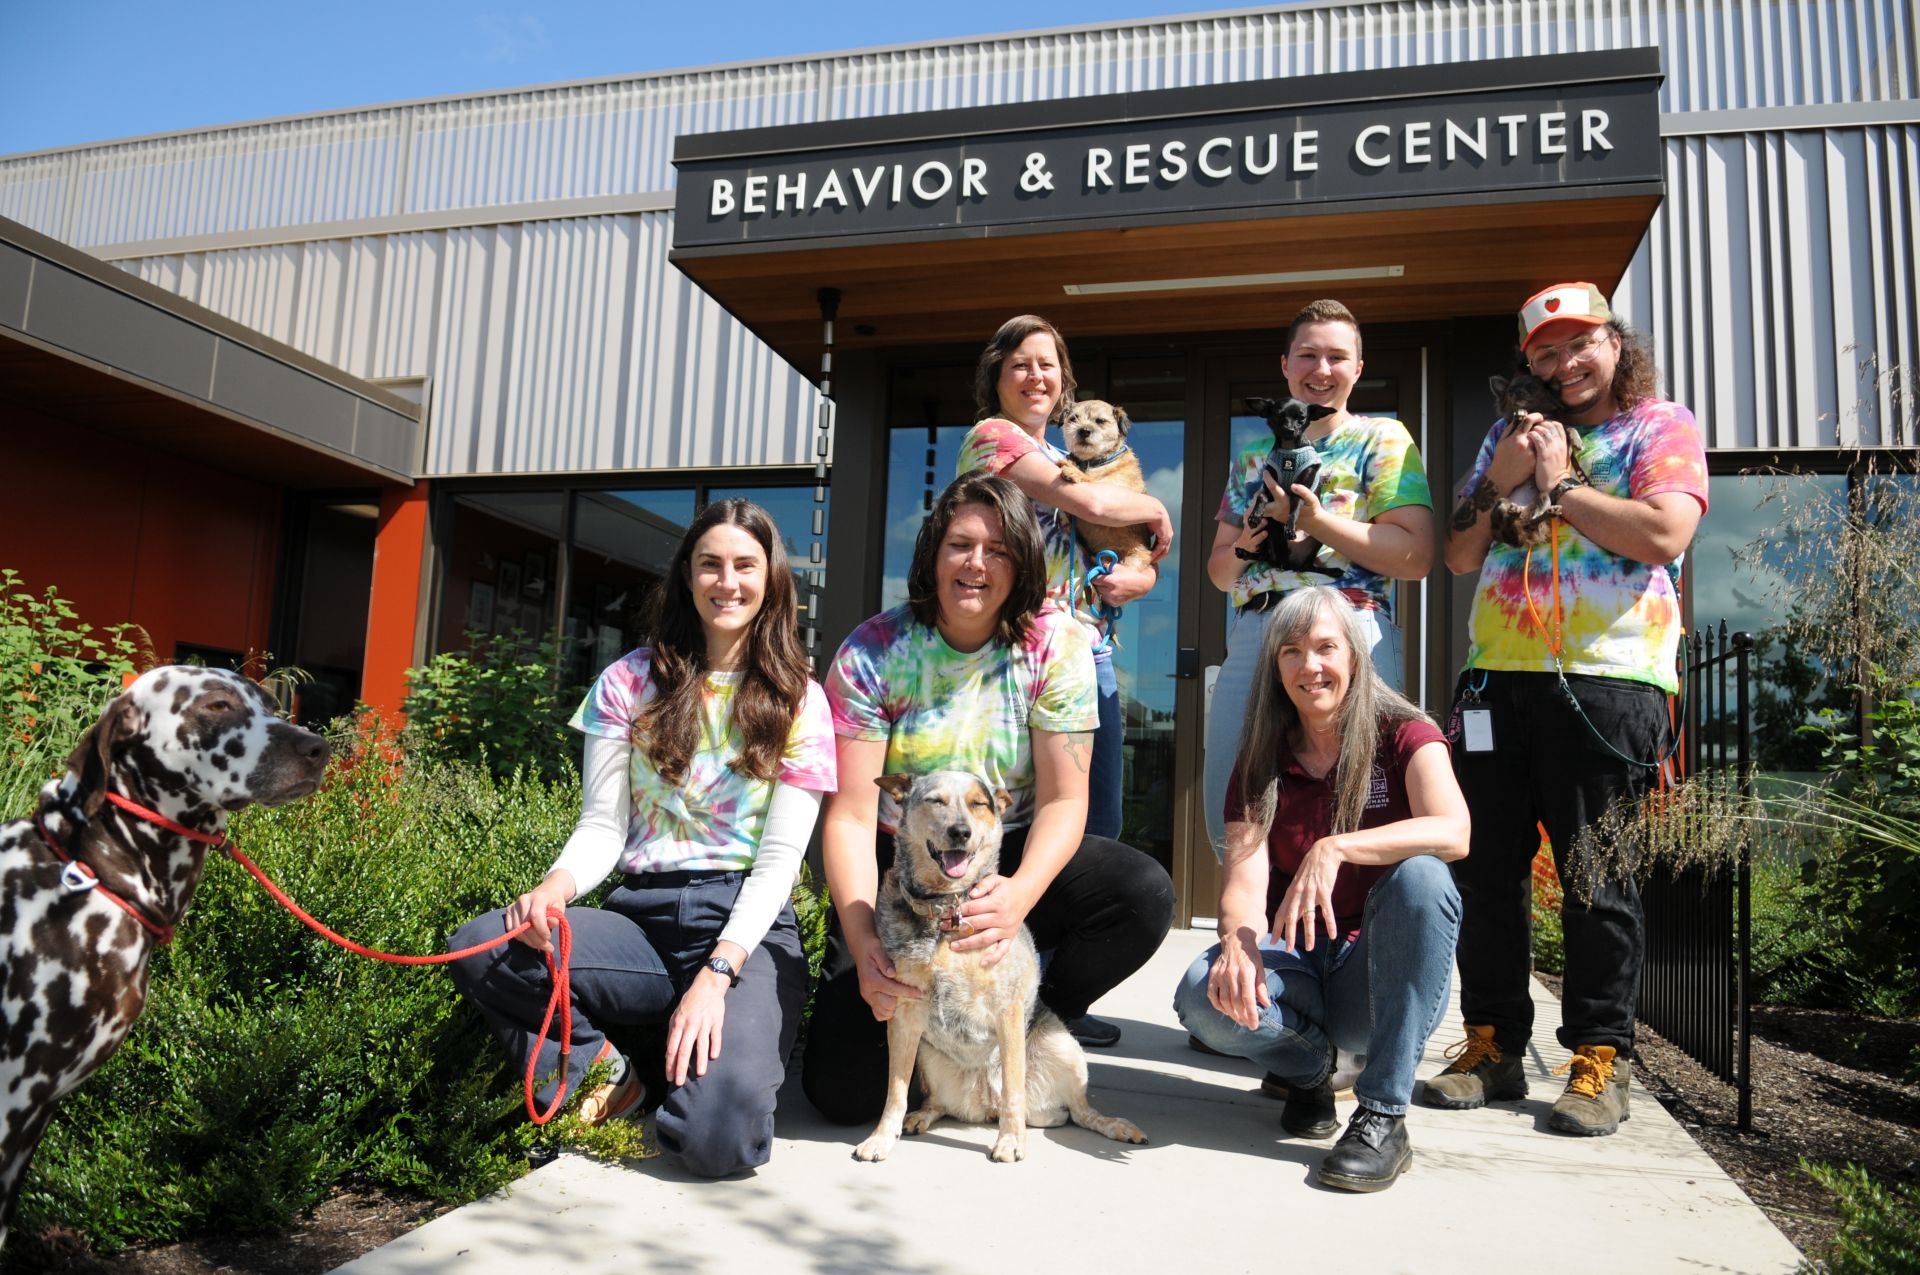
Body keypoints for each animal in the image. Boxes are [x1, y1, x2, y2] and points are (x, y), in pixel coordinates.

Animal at [0, 668, 332, 1244]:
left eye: (270, 704)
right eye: (217, 705)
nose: (319, 748)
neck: (90, 867)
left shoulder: (33, 1115)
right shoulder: (13, 1104)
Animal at [852, 768, 1136, 1167]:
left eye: (979, 804)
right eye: (935, 800)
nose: (960, 831)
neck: (947, 911)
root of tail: (985, 1104)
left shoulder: (1007, 1010)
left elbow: (1014, 1088)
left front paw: (1011, 1141)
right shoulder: (903, 1013)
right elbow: (895, 1090)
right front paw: (881, 1138)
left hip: (1064, 1047)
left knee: (1079, 1112)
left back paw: (1114, 1125)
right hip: (927, 1053)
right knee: (938, 1102)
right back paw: (920, 1116)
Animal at [1451, 370, 1589, 545]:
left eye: (1531, 387)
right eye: (1509, 392)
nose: (1515, 392)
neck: (1534, 412)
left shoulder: (1554, 424)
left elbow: (1569, 427)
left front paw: (1577, 441)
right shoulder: (1511, 431)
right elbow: (1517, 422)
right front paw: (1520, 415)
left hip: (1542, 497)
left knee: (1532, 520)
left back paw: (1545, 510)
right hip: (1503, 505)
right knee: (1519, 519)